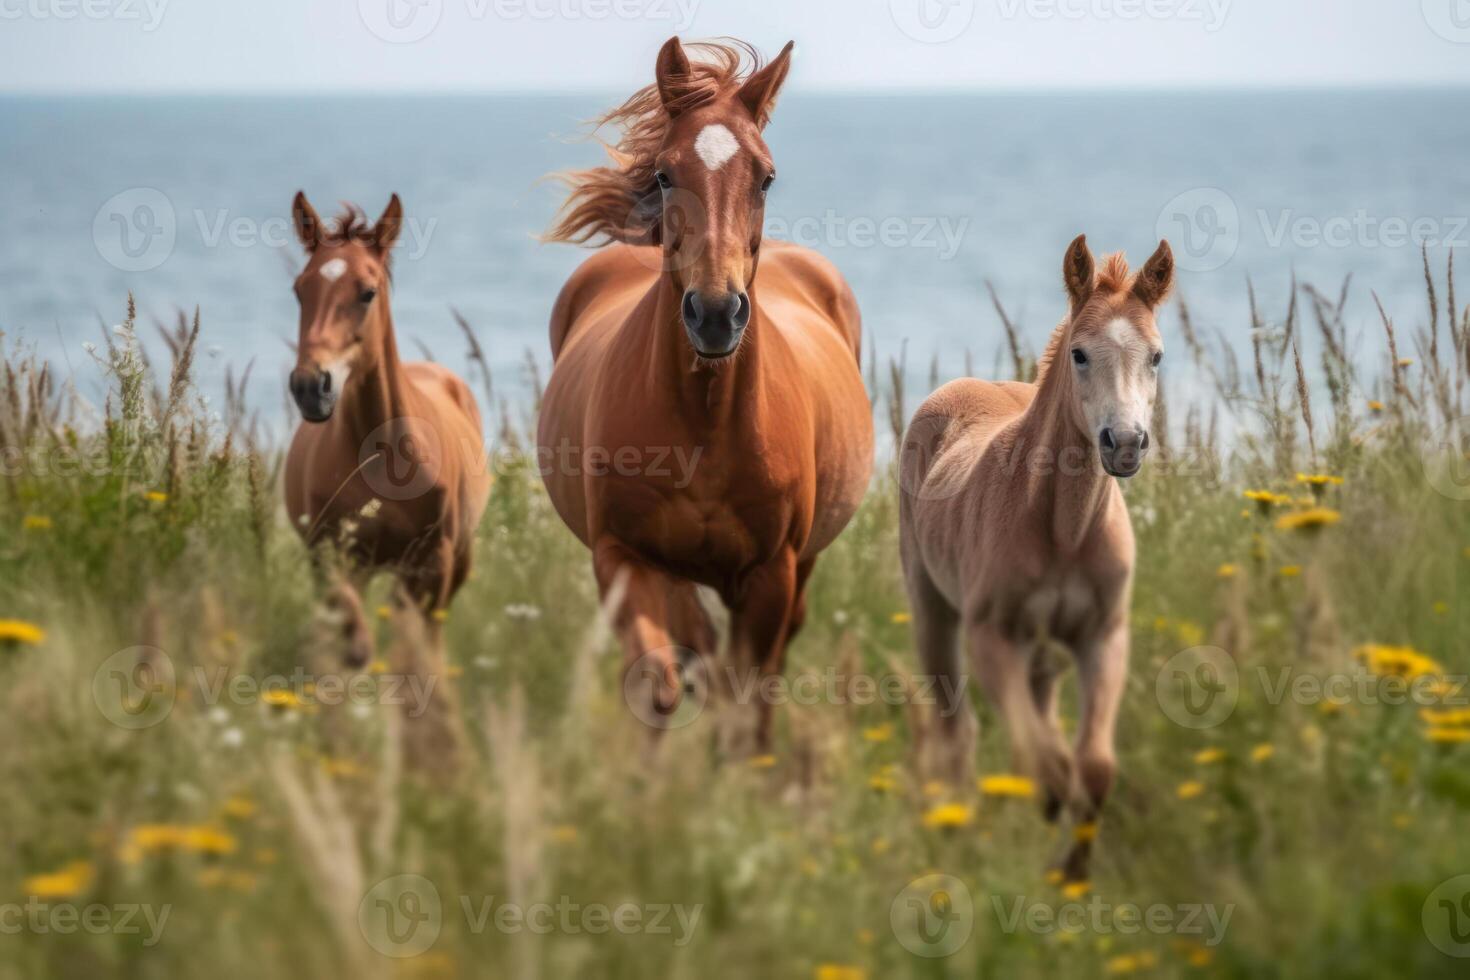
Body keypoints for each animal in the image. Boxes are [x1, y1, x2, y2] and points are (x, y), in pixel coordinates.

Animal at [280, 193, 493, 664]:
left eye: (367, 292)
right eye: (300, 290)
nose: (310, 387)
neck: (386, 455)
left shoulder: (434, 565)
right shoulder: (334, 556)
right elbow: (354, 636)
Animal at [543, 36, 870, 743]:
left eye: (766, 175)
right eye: (666, 174)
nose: (716, 313)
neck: (706, 423)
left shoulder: (772, 573)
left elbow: (746, 703)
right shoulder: (624, 558)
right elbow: (658, 685)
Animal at [893, 235, 1170, 881]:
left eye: (1156, 356)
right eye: (1079, 354)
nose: (1125, 443)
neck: (1064, 533)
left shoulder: (1103, 636)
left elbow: (1091, 767)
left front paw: (1071, 872)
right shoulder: (991, 636)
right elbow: (1044, 761)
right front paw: (1044, 823)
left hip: (1042, 655)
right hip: (933, 611)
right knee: (955, 731)